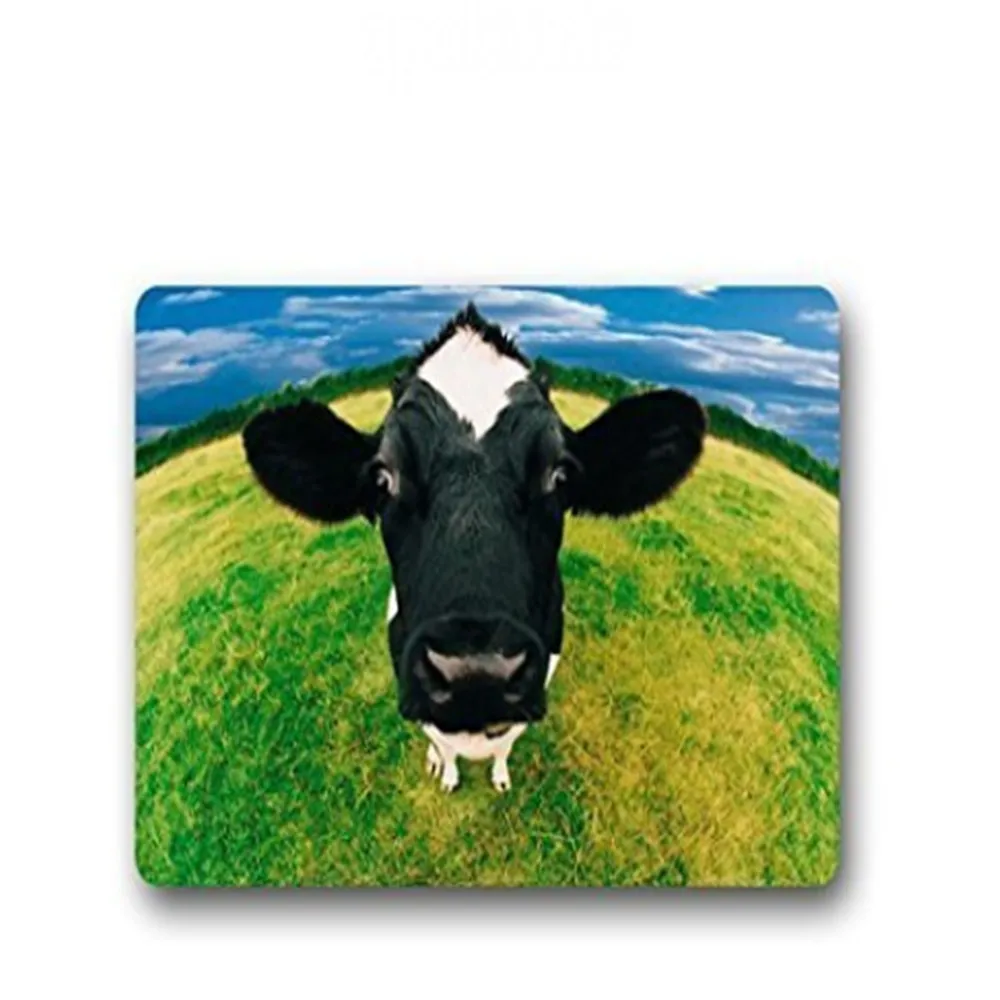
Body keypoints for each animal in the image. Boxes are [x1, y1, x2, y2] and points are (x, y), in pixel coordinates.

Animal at [242, 304, 706, 793]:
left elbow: (506, 743)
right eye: (384, 478)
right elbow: (443, 743)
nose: (475, 674)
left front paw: (499, 776)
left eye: (559, 475)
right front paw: (446, 773)